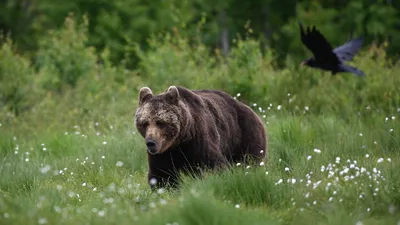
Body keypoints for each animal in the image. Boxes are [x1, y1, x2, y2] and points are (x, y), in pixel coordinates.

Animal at [134, 85, 268, 189]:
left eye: (160, 122)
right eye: (145, 123)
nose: (151, 142)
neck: (180, 141)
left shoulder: (198, 139)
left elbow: (213, 165)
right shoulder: (164, 152)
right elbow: (162, 174)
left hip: (246, 134)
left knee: (250, 161)